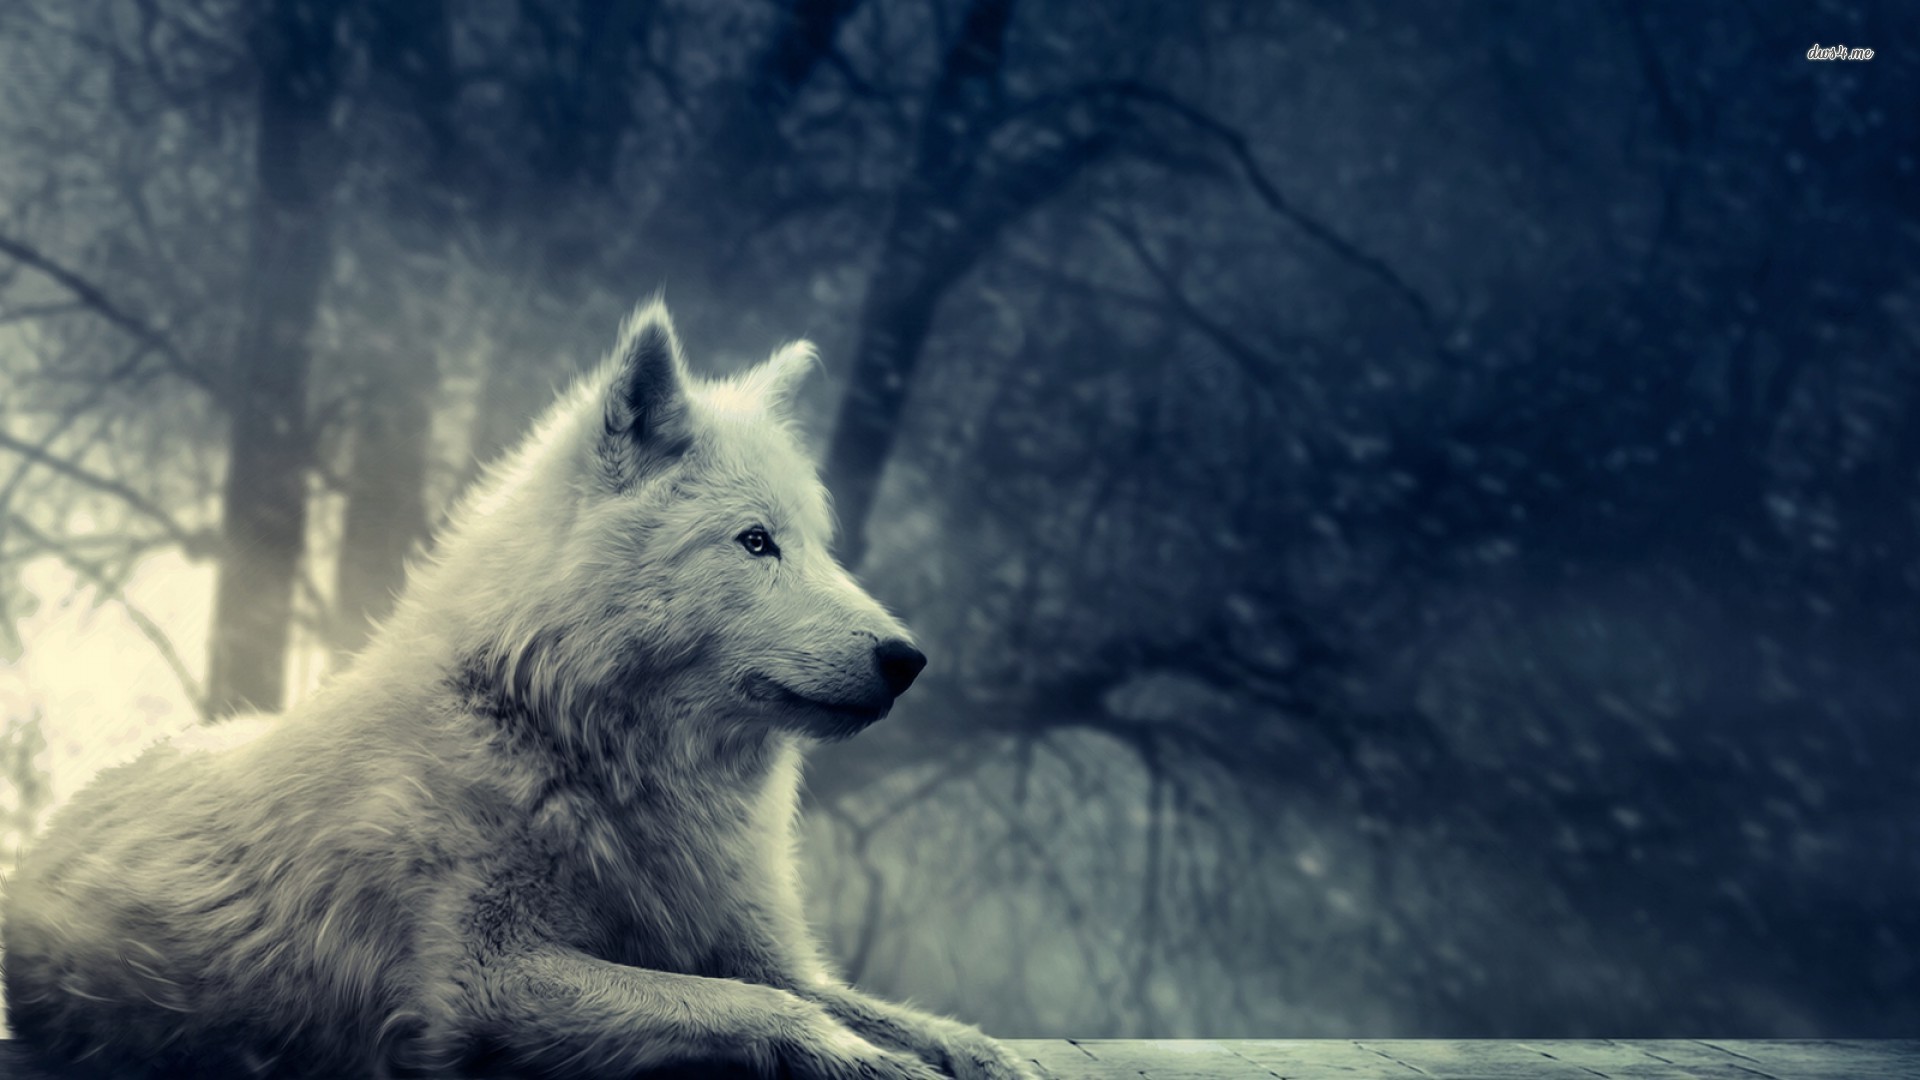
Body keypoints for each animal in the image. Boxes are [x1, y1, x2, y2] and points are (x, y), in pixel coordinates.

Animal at [2, 304, 1038, 1080]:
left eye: (820, 545)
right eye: (755, 542)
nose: (908, 659)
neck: (562, 739)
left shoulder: (759, 947)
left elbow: (889, 1013)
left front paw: (980, 1054)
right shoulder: (484, 982)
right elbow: (760, 1008)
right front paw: (871, 1061)